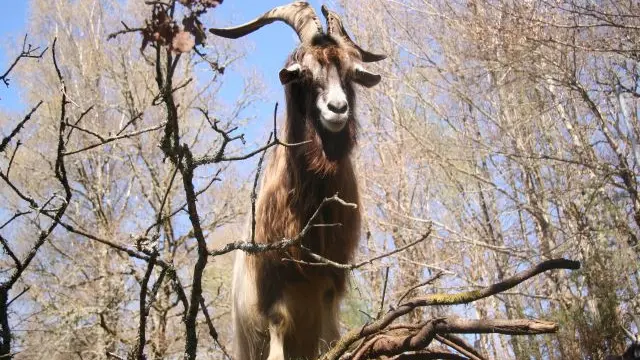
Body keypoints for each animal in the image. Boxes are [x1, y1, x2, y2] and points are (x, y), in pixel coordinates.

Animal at [209, 2, 384, 360]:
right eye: (304, 72)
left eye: (349, 73)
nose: (337, 109)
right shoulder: (273, 285)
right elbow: (278, 325)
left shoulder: (332, 279)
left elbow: (332, 338)